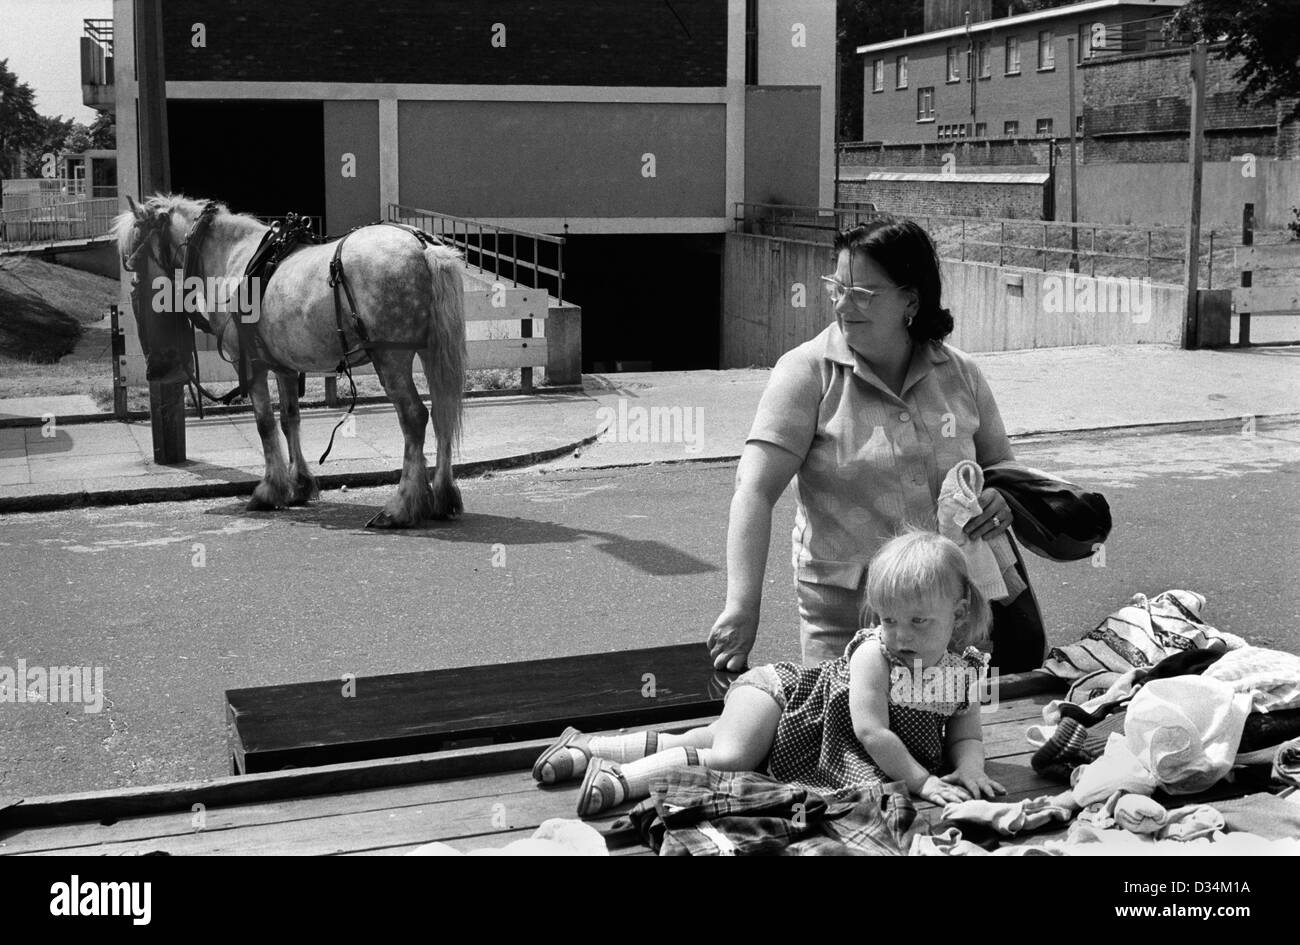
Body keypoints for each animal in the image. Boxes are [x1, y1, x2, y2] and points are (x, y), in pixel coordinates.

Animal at [113, 194, 467, 527]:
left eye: (134, 255)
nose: (131, 276)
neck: (234, 258)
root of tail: (423, 246)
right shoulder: (283, 365)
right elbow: (288, 419)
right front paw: (300, 484)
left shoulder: (250, 364)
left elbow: (265, 424)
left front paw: (270, 489)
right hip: (430, 350)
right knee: (442, 412)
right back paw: (441, 496)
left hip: (391, 355)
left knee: (414, 417)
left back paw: (402, 505)